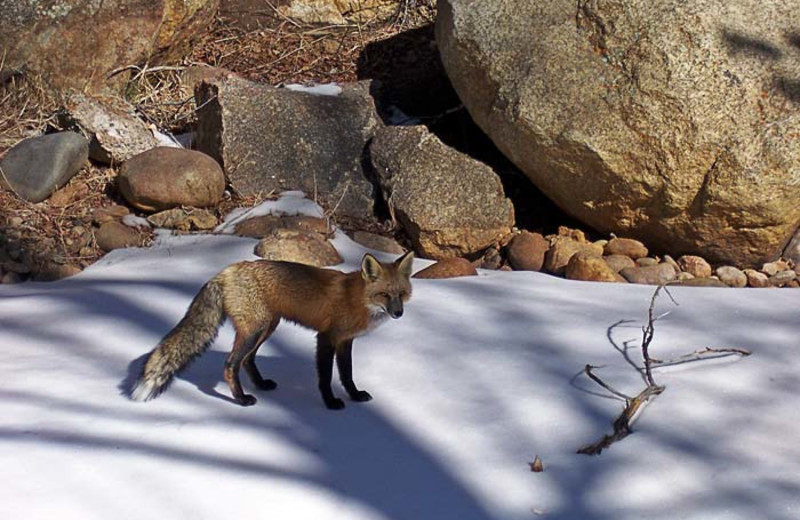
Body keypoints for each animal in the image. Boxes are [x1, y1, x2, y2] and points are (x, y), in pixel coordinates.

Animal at [130, 252, 412, 410]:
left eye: (402, 294)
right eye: (384, 295)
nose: (399, 313)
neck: (356, 298)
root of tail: (226, 271)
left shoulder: (345, 341)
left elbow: (347, 375)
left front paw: (354, 396)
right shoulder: (326, 338)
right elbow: (325, 377)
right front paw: (330, 403)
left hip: (267, 326)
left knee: (247, 360)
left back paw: (261, 385)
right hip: (255, 329)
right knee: (231, 364)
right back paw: (241, 399)